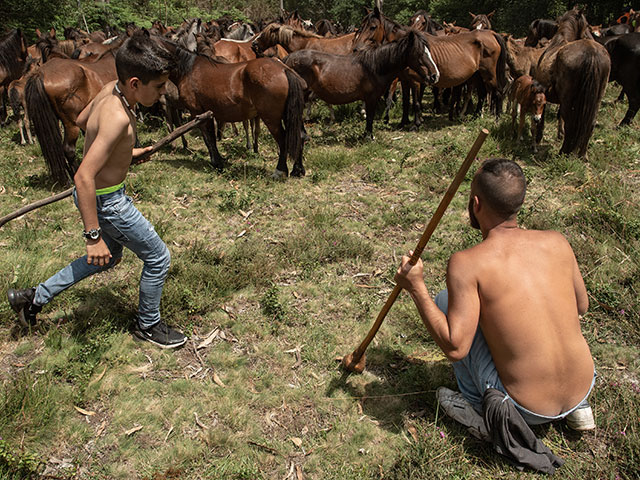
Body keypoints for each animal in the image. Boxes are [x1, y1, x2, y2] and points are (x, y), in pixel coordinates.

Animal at [154, 37, 304, 176]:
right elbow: (211, 138)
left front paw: (217, 164)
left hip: (271, 119)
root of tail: (283, 69)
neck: (188, 70)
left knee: (283, 140)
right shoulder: (207, 115)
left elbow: (208, 139)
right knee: (300, 136)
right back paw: (298, 170)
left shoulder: (197, 113)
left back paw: (280, 171)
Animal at [284, 30, 440, 137]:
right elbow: (370, 117)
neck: (373, 67)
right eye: (419, 53)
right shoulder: (371, 98)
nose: (435, 75)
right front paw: (369, 136)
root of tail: (288, 59)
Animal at [536, 7, 608, 157]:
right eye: (587, 25)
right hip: (596, 100)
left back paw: (563, 152)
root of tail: (591, 53)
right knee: (590, 124)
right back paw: (582, 154)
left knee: (571, 123)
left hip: (568, 100)